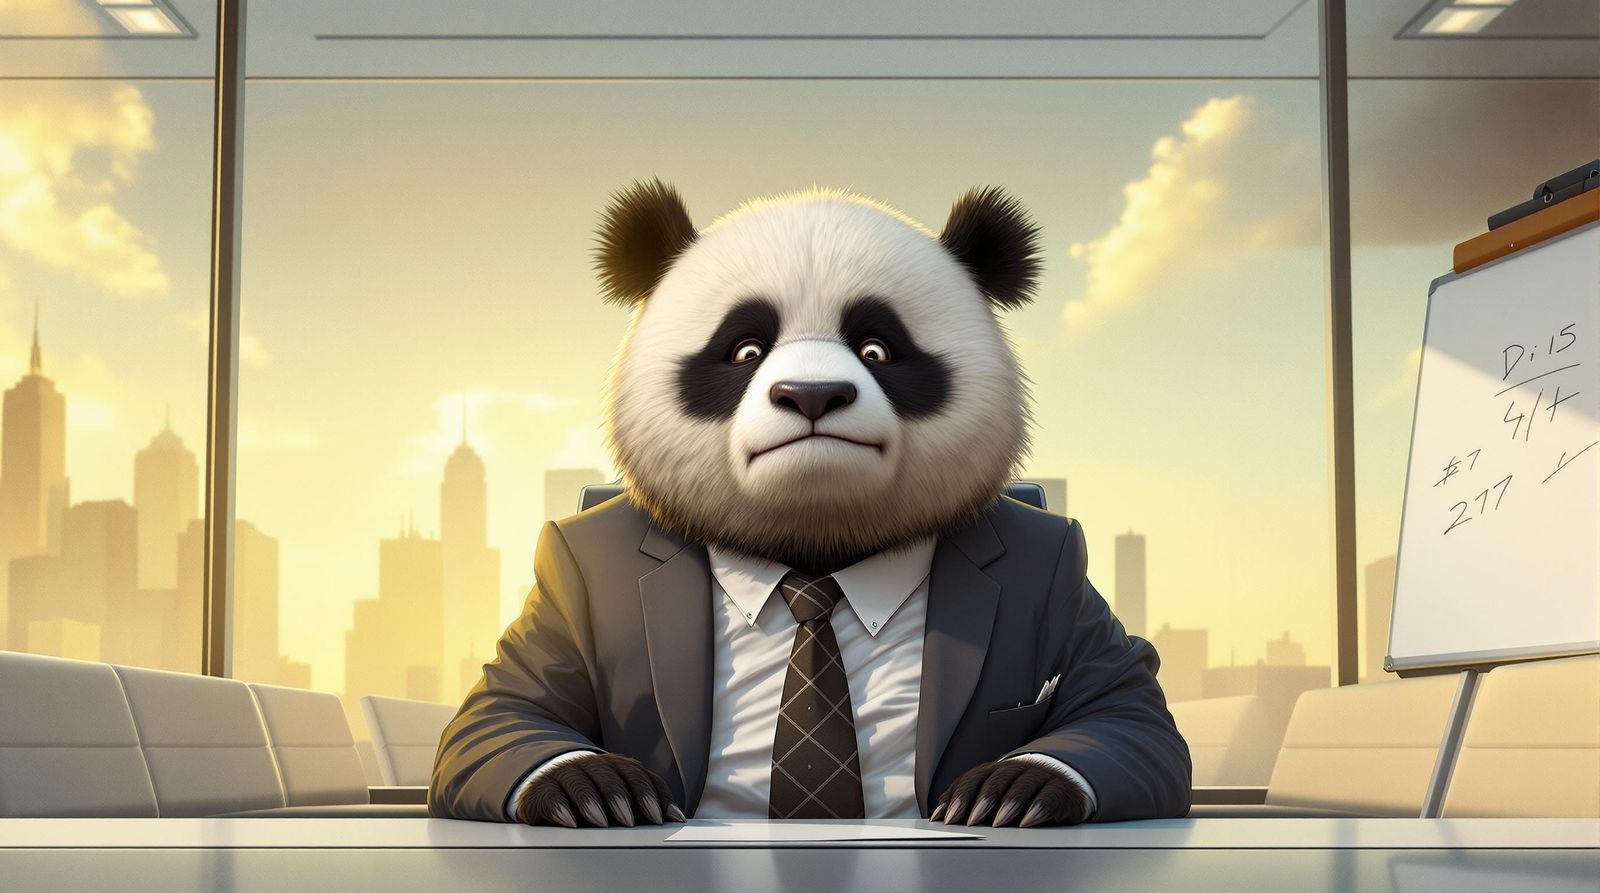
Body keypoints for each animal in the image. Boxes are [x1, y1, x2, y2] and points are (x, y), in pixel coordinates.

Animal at [430, 181, 1191, 829]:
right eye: (745, 348)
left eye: (878, 347)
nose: (812, 394)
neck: (815, 547)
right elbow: (505, 706)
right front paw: (593, 784)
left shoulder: (1060, 577)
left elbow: (1125, 705)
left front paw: (1015, 785)